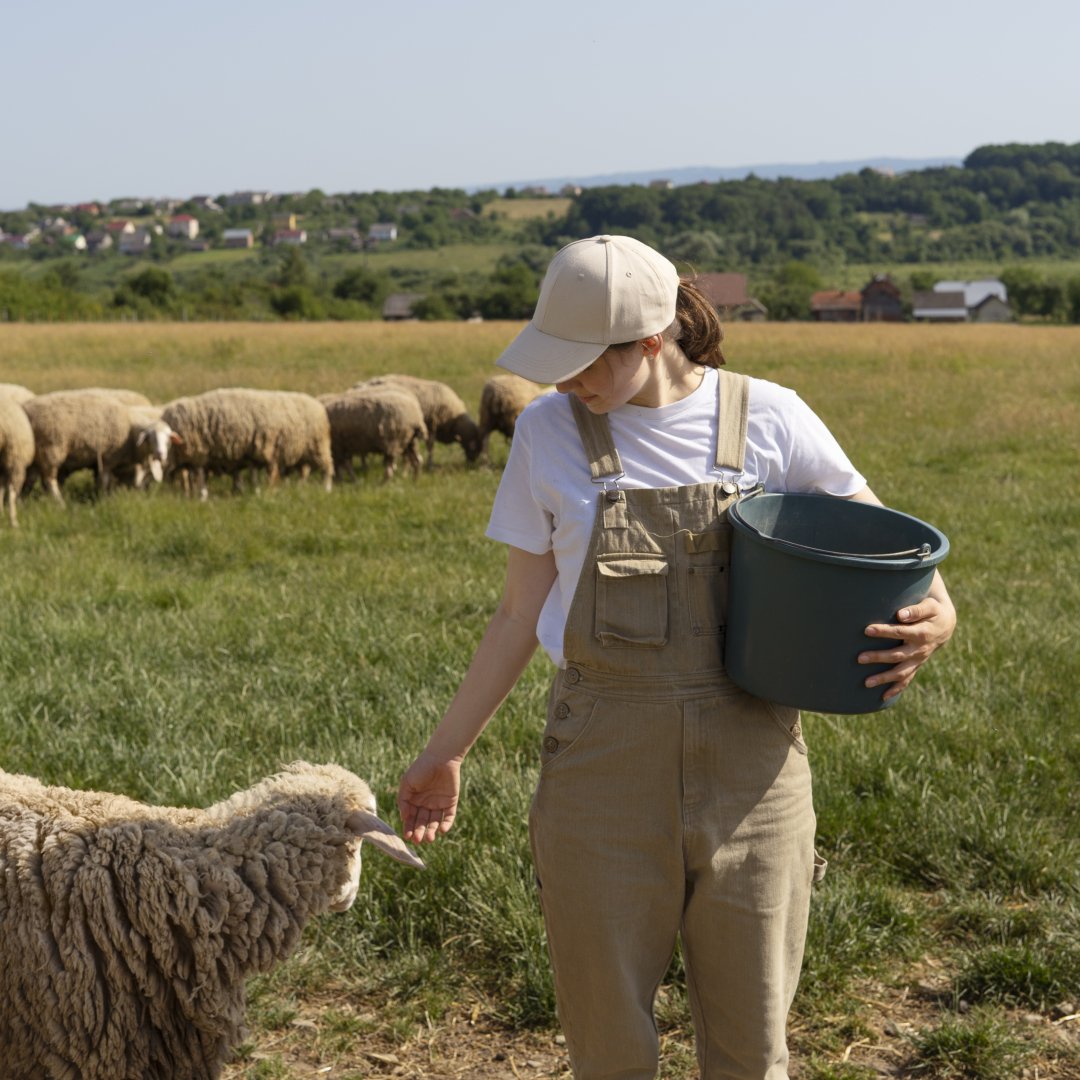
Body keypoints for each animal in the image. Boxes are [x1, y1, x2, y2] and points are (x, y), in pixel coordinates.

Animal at [159, 388, 332, 501]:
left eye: (168, 440)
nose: (161, 456)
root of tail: (318, 405)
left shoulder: (200, 453)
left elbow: (201, 476)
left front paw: (202, 496)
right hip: (303, 451)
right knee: (303, 471)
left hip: (317, 446)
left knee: (327, 468)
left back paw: (326, 489)